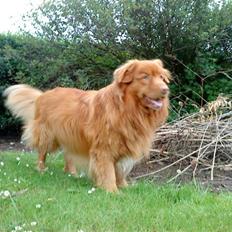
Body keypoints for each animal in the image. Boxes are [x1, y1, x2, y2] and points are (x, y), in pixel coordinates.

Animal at [3, 59, 170, 191]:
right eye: (145, 77)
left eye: (161, 77)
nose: (165, 90)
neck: (127, 109)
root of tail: (43, 94)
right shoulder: (103, 148)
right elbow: (108, 171)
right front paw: (112, 191)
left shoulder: (123, 143)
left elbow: (120, 170)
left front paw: (124, 186)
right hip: (48, 135)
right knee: (42, 152)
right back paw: (41, 169)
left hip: (70, 137)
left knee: (68, 155)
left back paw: (72, 173)